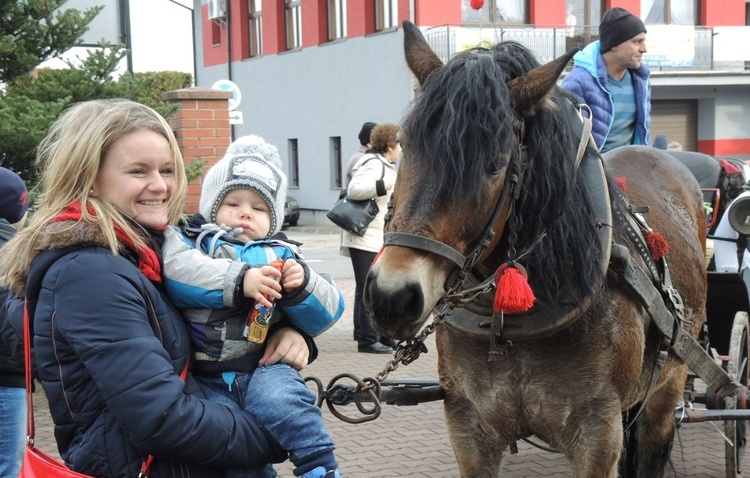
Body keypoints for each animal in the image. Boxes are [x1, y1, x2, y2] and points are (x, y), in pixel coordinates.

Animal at [368, 22, 712, 478]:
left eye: (496, 164)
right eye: (406, 147)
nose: (391, 296)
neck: (509, 325)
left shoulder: (597, 434)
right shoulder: (467, 426)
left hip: (668, 383)